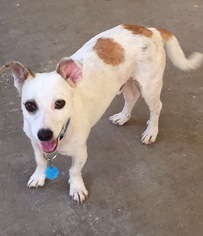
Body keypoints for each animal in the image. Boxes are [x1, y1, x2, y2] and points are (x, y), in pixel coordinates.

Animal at [1, 24, 203, 202]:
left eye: (60, 103)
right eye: (29, 105)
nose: (44, 134)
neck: (64, 132)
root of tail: (149, 29)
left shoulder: (80, 153)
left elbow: (74, 171)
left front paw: (76, 188)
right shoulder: (36, 145)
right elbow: (40, 161)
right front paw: (39, 176)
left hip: (150, 87)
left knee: (156, 108)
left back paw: (151, 132)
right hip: (126, 82)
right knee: (132, 96)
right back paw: (123, 117)